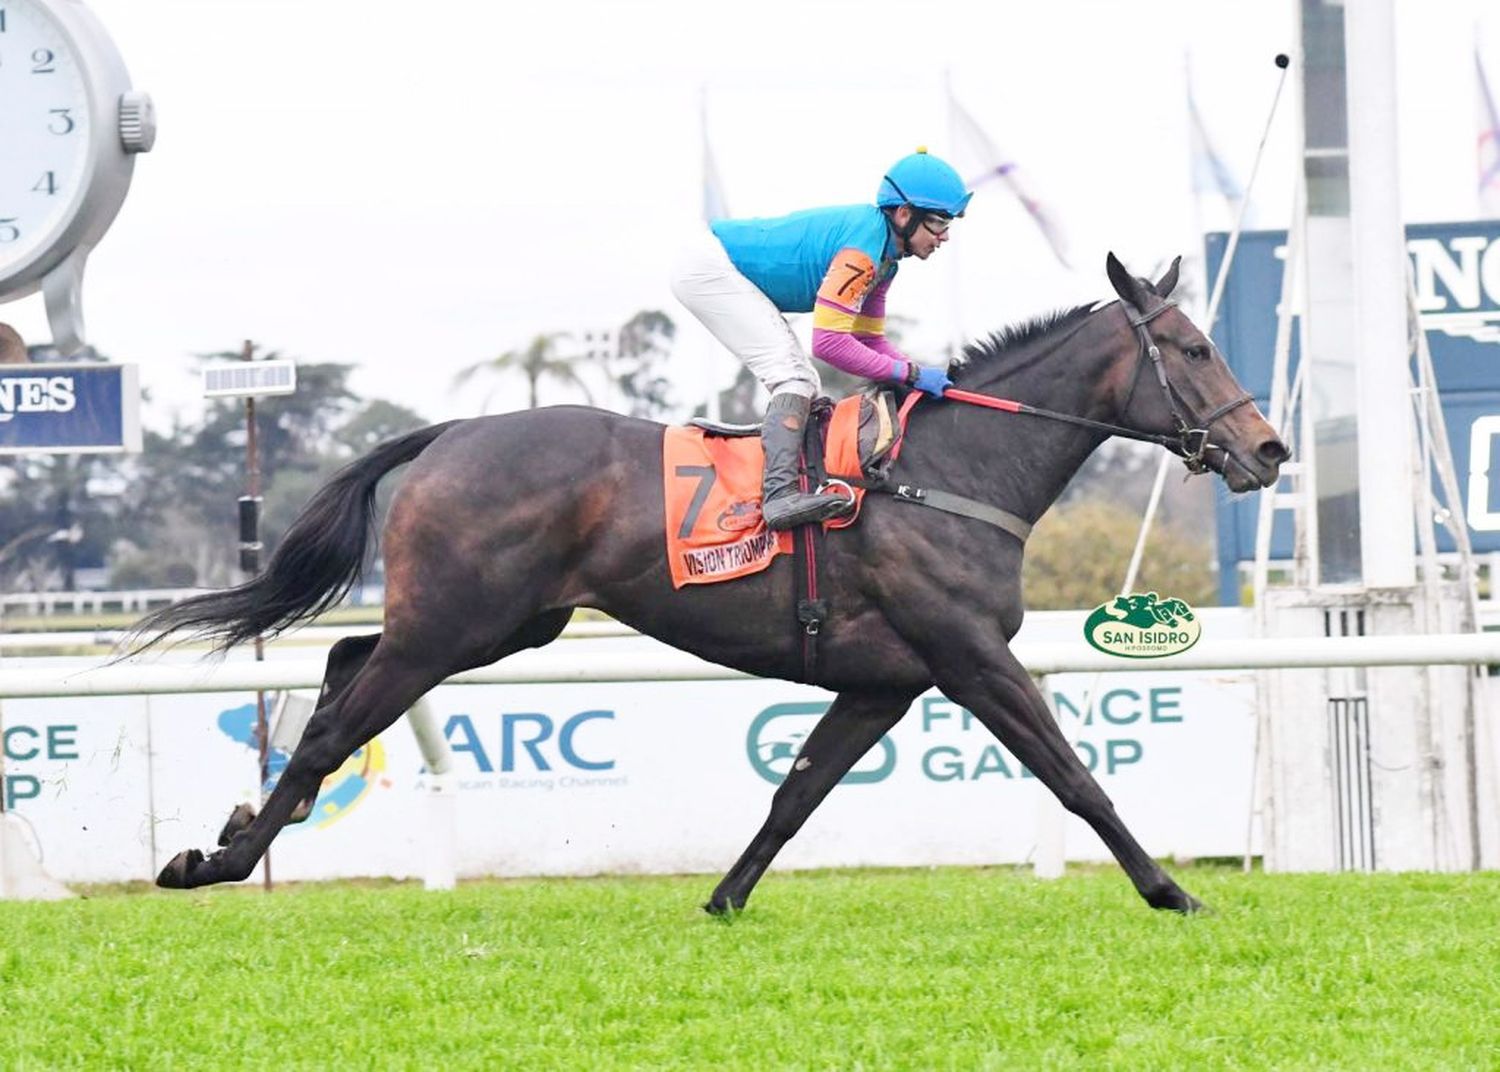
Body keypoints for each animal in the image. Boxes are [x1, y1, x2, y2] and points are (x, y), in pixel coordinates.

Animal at [132, 253, 1290, 911]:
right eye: (1193, 346)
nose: (1269, 449)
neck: (949, 470)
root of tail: (450, 431)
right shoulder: (971, 659)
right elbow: (1077, 777)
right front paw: (1172, 891)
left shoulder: (887, 680)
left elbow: (796, 793)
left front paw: (724, 898)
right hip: (453, 627)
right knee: (340, 719)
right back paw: (216, 863)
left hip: (506, 623)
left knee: (341, 657)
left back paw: (242, 825)